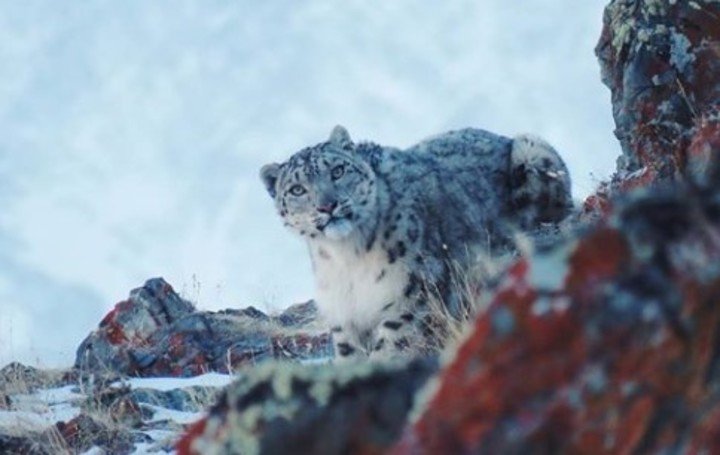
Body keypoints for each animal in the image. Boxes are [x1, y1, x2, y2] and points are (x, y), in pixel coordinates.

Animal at [262, 126, 572, 362]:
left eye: (338, 170)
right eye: (297, 189)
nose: (327, 205)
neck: (347, 257)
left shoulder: (412, 294)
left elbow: (390, 347)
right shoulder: (343, 316)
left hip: (531, 150)